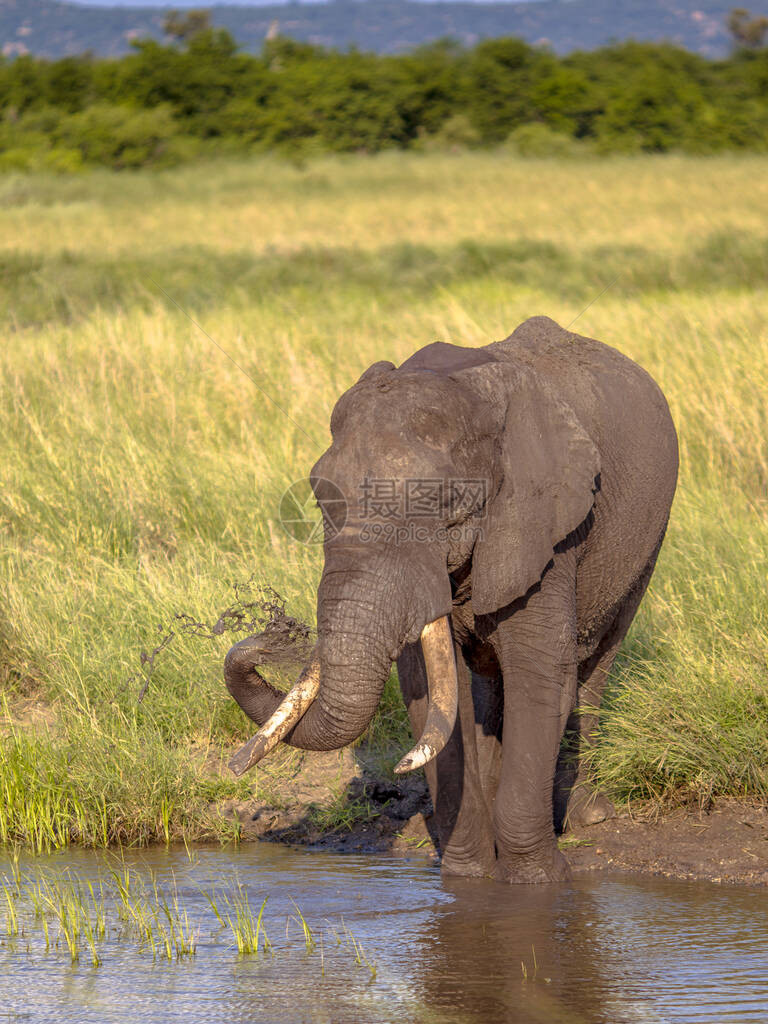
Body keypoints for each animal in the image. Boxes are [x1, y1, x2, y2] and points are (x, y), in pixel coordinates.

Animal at [224, 315, 679, 884]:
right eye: (320, 499)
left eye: (440, 501)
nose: (270, 633)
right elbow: (430, 690)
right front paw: (470, 878)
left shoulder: (544, 526)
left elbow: (541, 671)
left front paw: (537, 882)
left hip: (646, 541)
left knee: (595, 661)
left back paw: (585, 816)